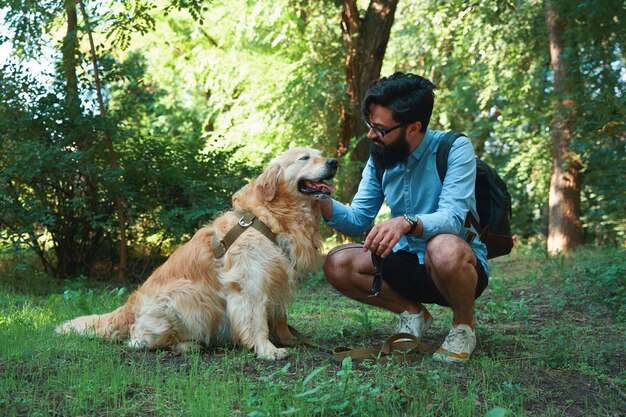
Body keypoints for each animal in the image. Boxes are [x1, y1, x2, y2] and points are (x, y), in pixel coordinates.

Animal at [54, 148, 336, 360]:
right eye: (304, 158)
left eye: (320, 154)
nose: (334, 162)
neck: (272, 218)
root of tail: (130, 305)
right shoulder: (250, 282)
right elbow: (256, 320)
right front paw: (267, 349)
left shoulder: (278, 277)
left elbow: (279, 317)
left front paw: (290, 339)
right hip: (185, 294)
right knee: (138, 339)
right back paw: (187, 345)